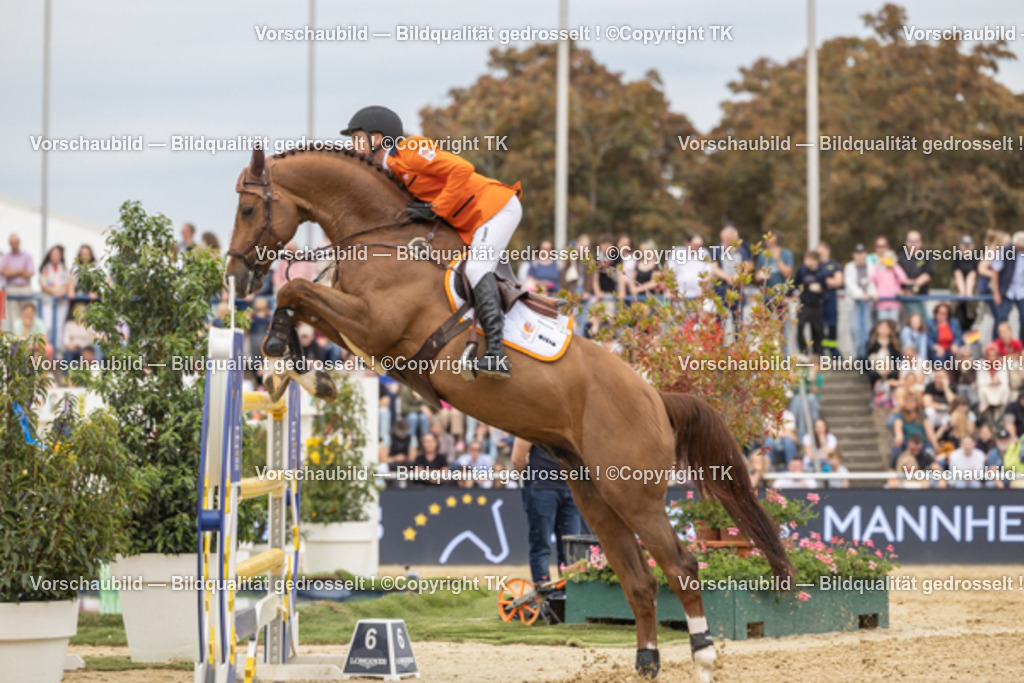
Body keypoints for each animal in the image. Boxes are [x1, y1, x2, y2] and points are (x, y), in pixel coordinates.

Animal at [225, 146, 793, 681]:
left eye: (249, 208)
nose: (235, 278)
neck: (383, 238)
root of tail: (655, 397)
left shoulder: (374, 326)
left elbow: (295, 288)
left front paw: (283, 358)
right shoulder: (357, 327)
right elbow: (300, 298)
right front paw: (293, 368)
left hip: (634, 493)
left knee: (682, 564)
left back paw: (703, 656)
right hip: (594, 495)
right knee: (639, 578)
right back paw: (647, 661)